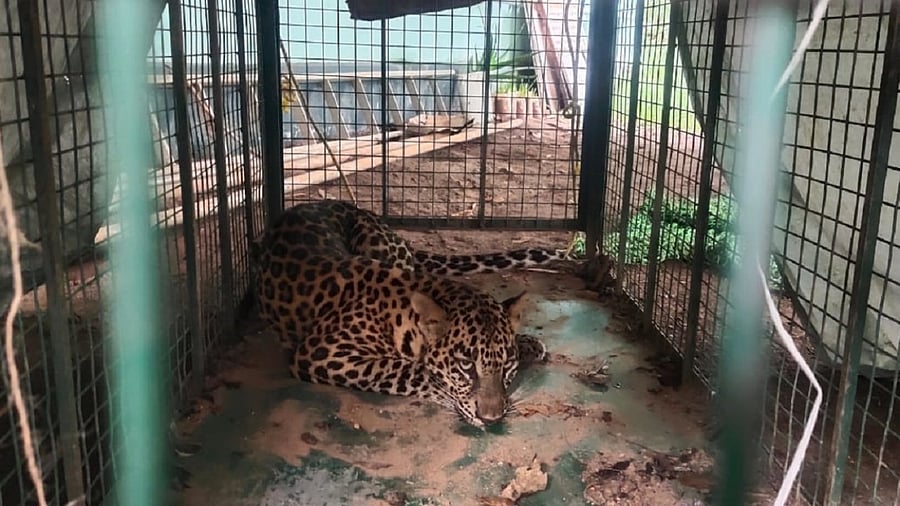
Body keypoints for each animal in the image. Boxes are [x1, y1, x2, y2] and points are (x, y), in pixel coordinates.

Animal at [247, 199, 568, 427]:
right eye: (466, 365)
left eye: (507, 364)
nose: (492, 419)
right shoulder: (322, 353)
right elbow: (403, 369)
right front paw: (442, 389)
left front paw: (526, 343)